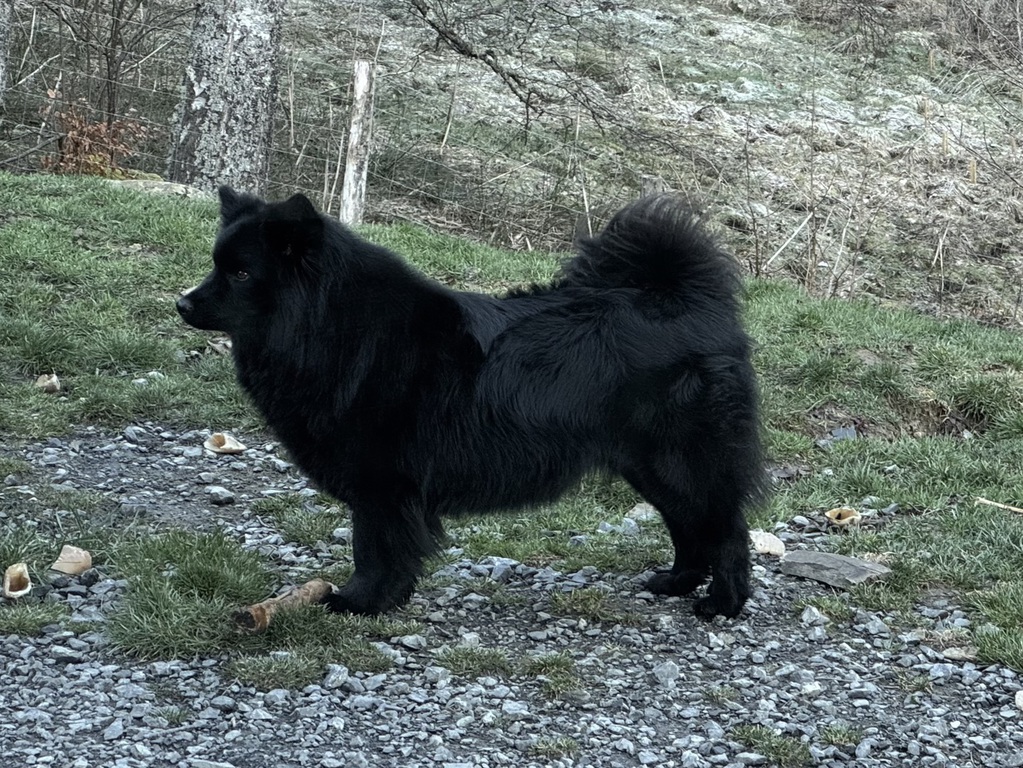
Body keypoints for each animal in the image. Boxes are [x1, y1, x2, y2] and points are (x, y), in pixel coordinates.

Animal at [177, 188, 765, 619]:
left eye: (241, 273)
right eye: (215, 265)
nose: (182, 303)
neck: (332, 326)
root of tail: (686, 300)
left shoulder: (382, 485)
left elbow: (374, 549)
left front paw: (361, 602)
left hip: (681, 459)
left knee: (725, 530)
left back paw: (722, 604)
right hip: (647, 465)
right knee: (689, 527)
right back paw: (676, 583)